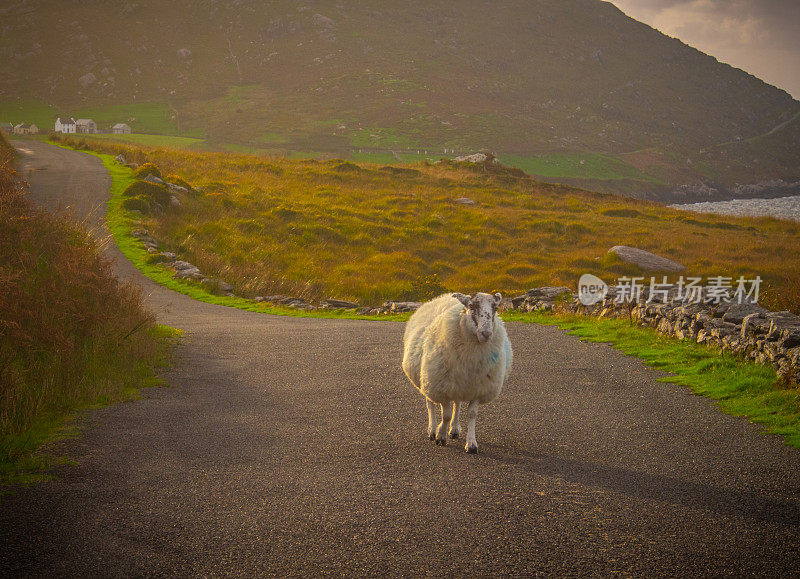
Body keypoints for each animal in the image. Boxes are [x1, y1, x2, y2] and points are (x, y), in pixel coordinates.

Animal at [400, 294, 512, 454]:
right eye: (471, 306)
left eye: (496, 308)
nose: (486, 334)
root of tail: (444, 297)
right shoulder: (441, 388)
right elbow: (445, 415)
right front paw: (440, 436)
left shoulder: (479, 389)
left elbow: (472, 414)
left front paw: (471, 444)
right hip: (427, 379)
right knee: (430, 404)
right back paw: (432, 430)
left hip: (458, 384)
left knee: (457, 404)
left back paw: (454, 429)